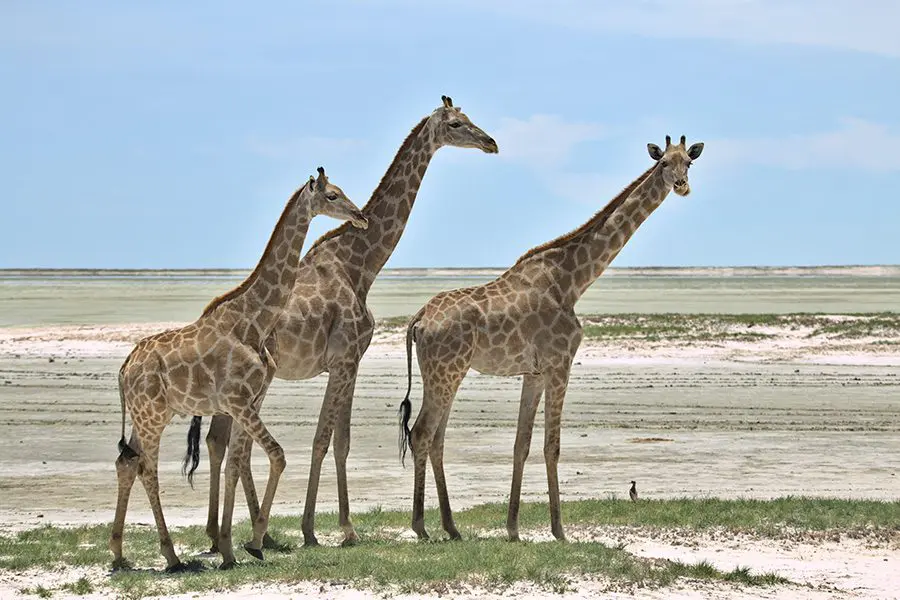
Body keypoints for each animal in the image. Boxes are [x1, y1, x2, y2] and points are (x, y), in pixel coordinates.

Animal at [109, 166, 366, 568]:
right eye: (333, 195)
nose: (360, 216)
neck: (254, 320)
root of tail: (124, 369)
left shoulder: (244, 403)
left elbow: (235, 463)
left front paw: (231, 548)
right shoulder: (239, 402)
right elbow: (274, 456)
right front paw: (251, 542)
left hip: (148, 415)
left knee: (127, 464)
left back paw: (119, 553)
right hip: (151, 417)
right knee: (147, 469)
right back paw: (170, 555)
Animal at [185, 96, 500, 552]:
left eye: (471, 117)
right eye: (457, 124)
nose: (491, 142)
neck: (361, 265)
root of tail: (205, 318)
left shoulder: (352, 362)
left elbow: (342, 441)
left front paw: (340, 527)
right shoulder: (344, 359)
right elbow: (323, 440)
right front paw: (319, 529)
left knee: (216, 441)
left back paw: (226, 534)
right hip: (254, 382)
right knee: (226, 443)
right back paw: (245, 533)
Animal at [400, 137, 704, 544]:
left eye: (689, 161)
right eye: (663, 164)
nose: (682, 185)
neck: (572, 281)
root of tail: (418, 320)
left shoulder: (534, 373)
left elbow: (521, 445)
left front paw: (513, 529)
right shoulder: (561, 363)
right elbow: (552, 446)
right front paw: (559, 530)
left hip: (448, 373)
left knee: (436, 439)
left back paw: (451, 527)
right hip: (445, 371)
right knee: (421, 433)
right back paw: (421, 527)